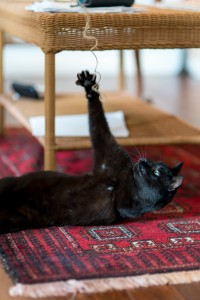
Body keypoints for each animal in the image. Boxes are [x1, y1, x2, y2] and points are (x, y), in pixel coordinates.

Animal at [0, 71, 183, 234]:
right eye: (152, 162)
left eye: (157, 171)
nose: (143, 161)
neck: (126, 181)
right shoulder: (108, 154)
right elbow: (98, 121)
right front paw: (89, 86)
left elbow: (99, 124)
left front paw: (89, 86)